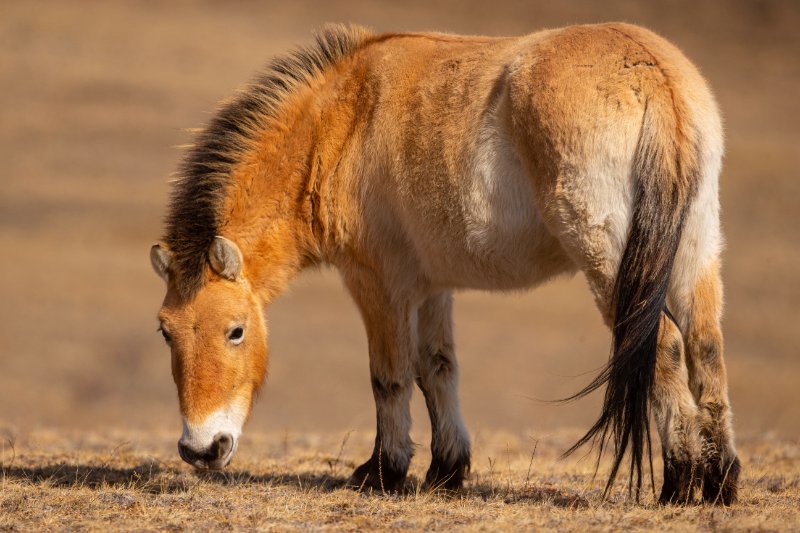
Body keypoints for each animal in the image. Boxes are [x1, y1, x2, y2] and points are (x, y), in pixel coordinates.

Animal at [148, 21, 736, 502]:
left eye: (236, 330)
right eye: (166, 332)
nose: (201, 448)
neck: (340, 123)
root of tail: (655, 76)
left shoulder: (378, 283)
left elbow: (389, 376)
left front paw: (382, 473)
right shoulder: (431, 286)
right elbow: (437, 369)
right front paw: (447, 472)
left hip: (613, 263)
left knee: (663, 345)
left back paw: (679, 484)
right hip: (695, 251)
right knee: (705, 348)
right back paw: (717, 483)